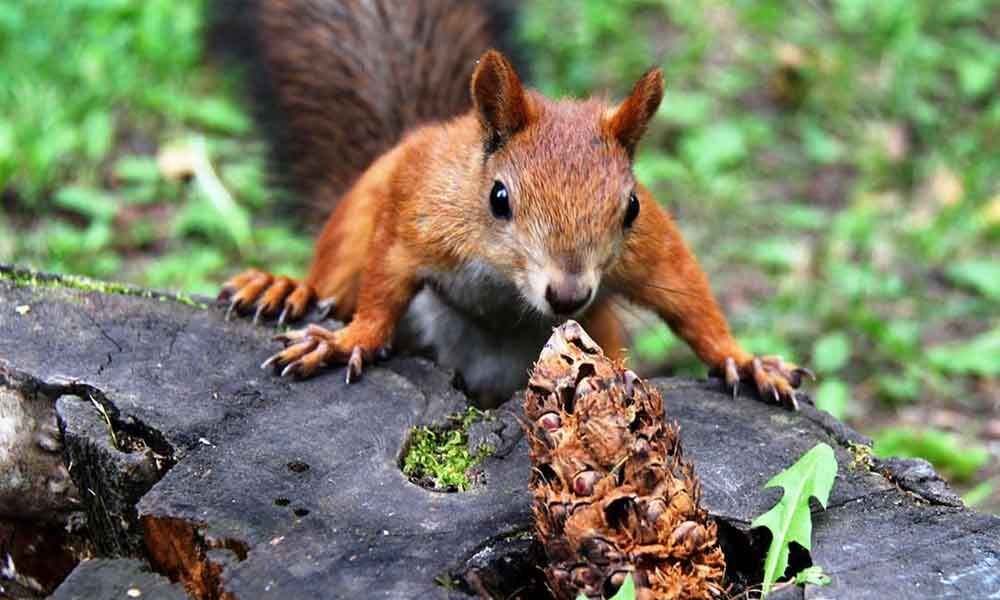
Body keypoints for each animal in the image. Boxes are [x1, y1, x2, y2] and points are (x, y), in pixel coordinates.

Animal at [211, 0, 812, 408]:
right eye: (498, 198)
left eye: (632, 208)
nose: (568, 295)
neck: (507, 283)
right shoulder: (419, 217)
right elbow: (383, 285)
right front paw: (346, 342)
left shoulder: (648, 247)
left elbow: (687, 293)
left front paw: (745, 360)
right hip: (364, 202)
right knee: (336, 274)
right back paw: (283, 288)